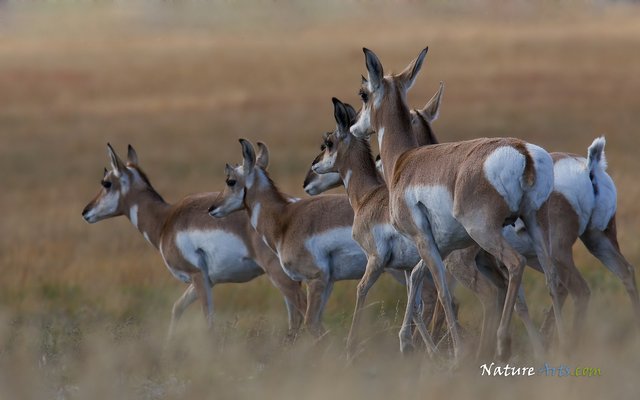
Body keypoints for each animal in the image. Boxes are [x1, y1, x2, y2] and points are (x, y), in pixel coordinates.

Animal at [81, 144, 306, 340]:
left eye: (106, 183)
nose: (85, 212)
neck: (166, 220)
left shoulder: (197, 276)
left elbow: (208, 318)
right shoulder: (207, 280)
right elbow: (177, 307)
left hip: (279, 274)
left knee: (301, 307)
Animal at [350, 46, 564, 360]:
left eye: (364, 94)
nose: (354, 127)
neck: (405, 160)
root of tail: (521, 150)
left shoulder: (424, 240)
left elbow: (441, 291)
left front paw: (455, 354)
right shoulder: (442, 244)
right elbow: (417, 278)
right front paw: (408, 343)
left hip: (485, 233)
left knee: (515, 266)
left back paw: (501, 345)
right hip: (534, 225)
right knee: (552, 277)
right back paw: (559, 346)